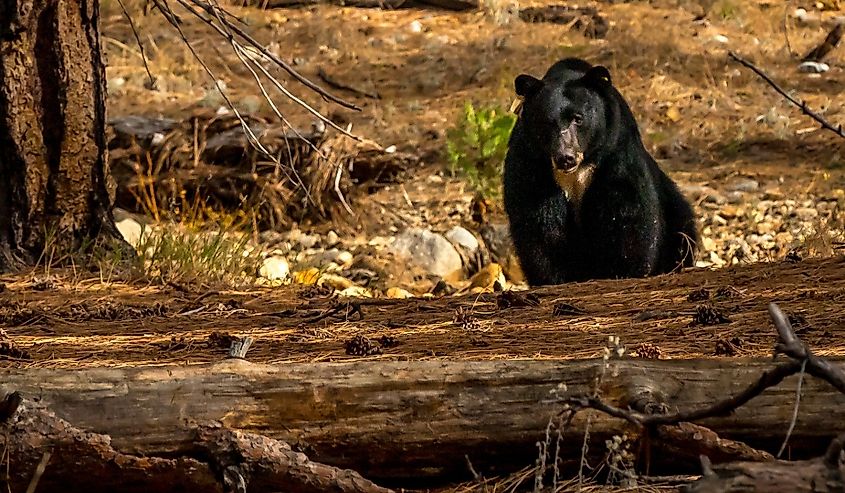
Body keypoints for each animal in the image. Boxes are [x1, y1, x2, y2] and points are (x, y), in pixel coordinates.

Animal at [503, 58, 698, 286]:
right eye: (546, 123)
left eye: (578, 118)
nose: (565, 157)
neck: (578, 170)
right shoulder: (531, 162)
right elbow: (539, 222)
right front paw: (555, 279)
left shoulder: (616, 152)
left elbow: (628, 211)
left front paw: (624, 271)